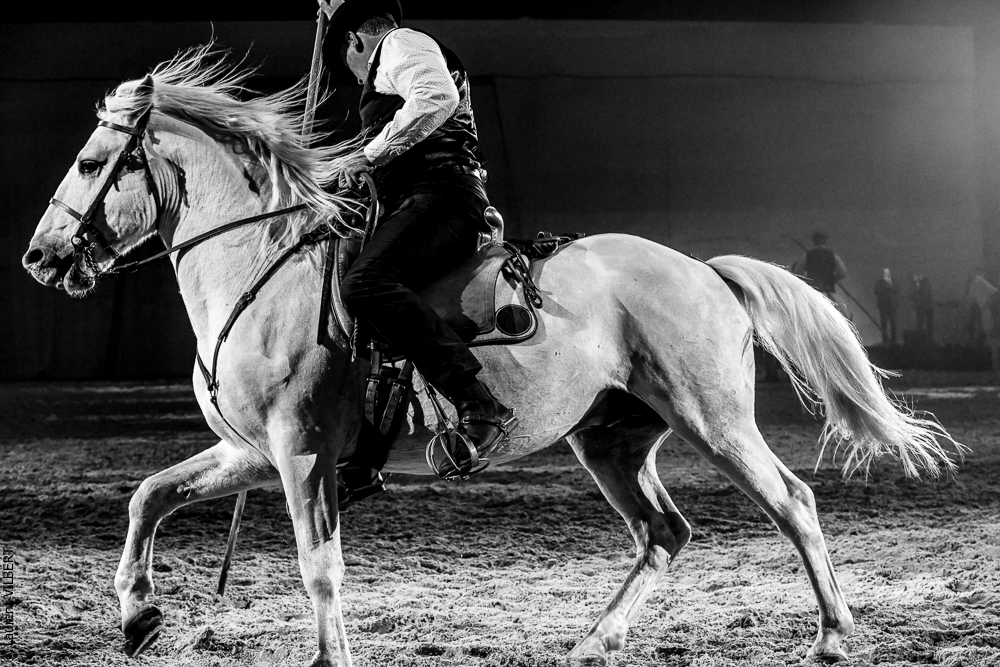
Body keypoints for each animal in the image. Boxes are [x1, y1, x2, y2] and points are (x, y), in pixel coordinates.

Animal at [22, 48, 958, 666]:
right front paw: (138, 614)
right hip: (611, 437)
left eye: (92, 161)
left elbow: (318, 564)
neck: (263, 270)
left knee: (791, 501)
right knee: (665, 530)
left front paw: (325, 656)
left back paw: (831, 635)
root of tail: (704, 270)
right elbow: (149, 494)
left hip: (714, 419)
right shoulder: (253, 451)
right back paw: (595, 639)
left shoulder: (299, 453)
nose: (39, 257)